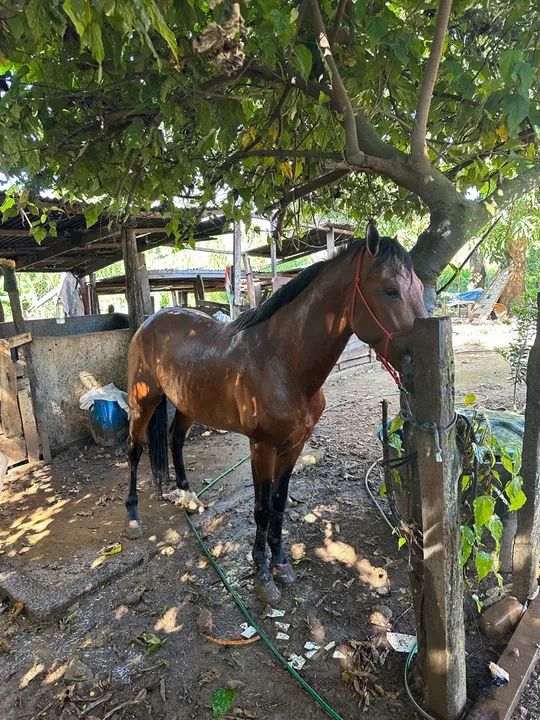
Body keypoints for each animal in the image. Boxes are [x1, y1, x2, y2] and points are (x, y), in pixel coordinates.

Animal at [125, 221, 428, 603]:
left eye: (419, 287)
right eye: (390, 290)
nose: (420, 365)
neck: (281, 362)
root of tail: (152, 320)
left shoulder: (293, 445)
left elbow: (280, 503)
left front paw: (281, 563)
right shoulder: (262, 448)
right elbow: (262, 508)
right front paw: (262, 574)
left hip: (186, 403)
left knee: (175, 440)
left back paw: (187, 497)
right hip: (143, 401)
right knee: (135, 450)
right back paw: (133, 516)